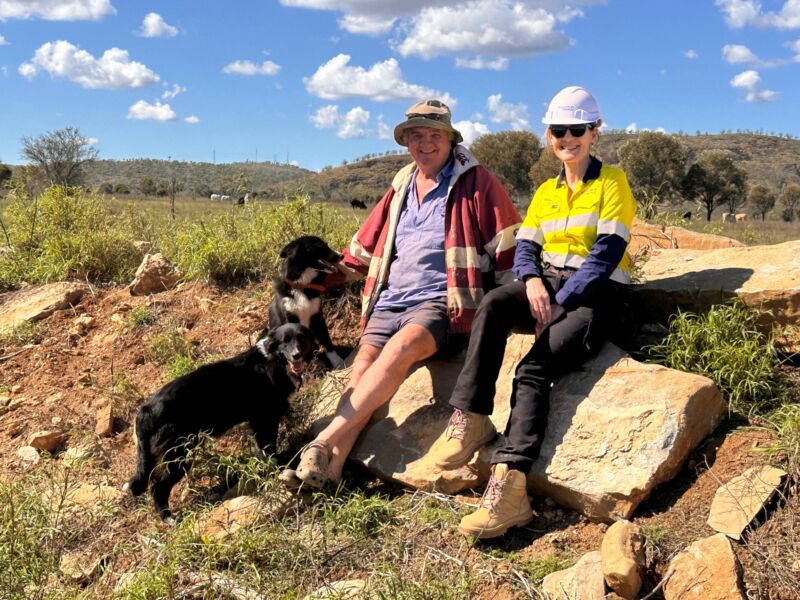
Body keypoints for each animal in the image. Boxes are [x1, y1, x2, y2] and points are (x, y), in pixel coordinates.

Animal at [123, 324, 314, 520]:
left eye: (302, 338)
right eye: (285, 341)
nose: (297, 355)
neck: (272, 359)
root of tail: (145, 411)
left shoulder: (258, 421)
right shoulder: (265, 419)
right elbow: (269, 449)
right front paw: (278, 467)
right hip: (179, 453)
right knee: (158, 486)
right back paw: (168, 517)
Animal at [270, 236, 346, 370]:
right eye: (320, 246)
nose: (341, 256)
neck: (302, 285)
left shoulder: (317, 316)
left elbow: (326, 339)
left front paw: (337, 361)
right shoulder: (289, 317)